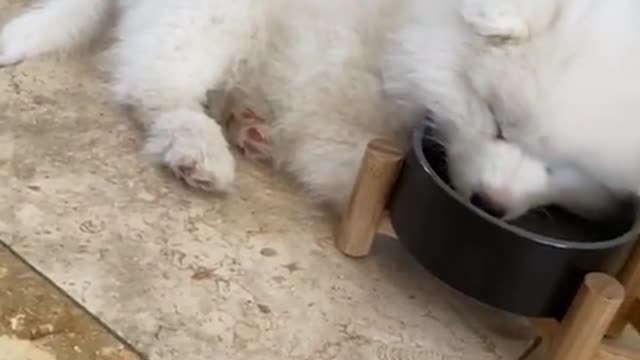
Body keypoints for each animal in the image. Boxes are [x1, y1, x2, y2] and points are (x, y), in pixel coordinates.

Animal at [1, 0, 640, 218]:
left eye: (568, 168)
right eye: (498, 121)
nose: (489, 205)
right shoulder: (341, 95)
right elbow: (353, 167)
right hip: (215, 13)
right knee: (156, 81)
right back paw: (199, 144)